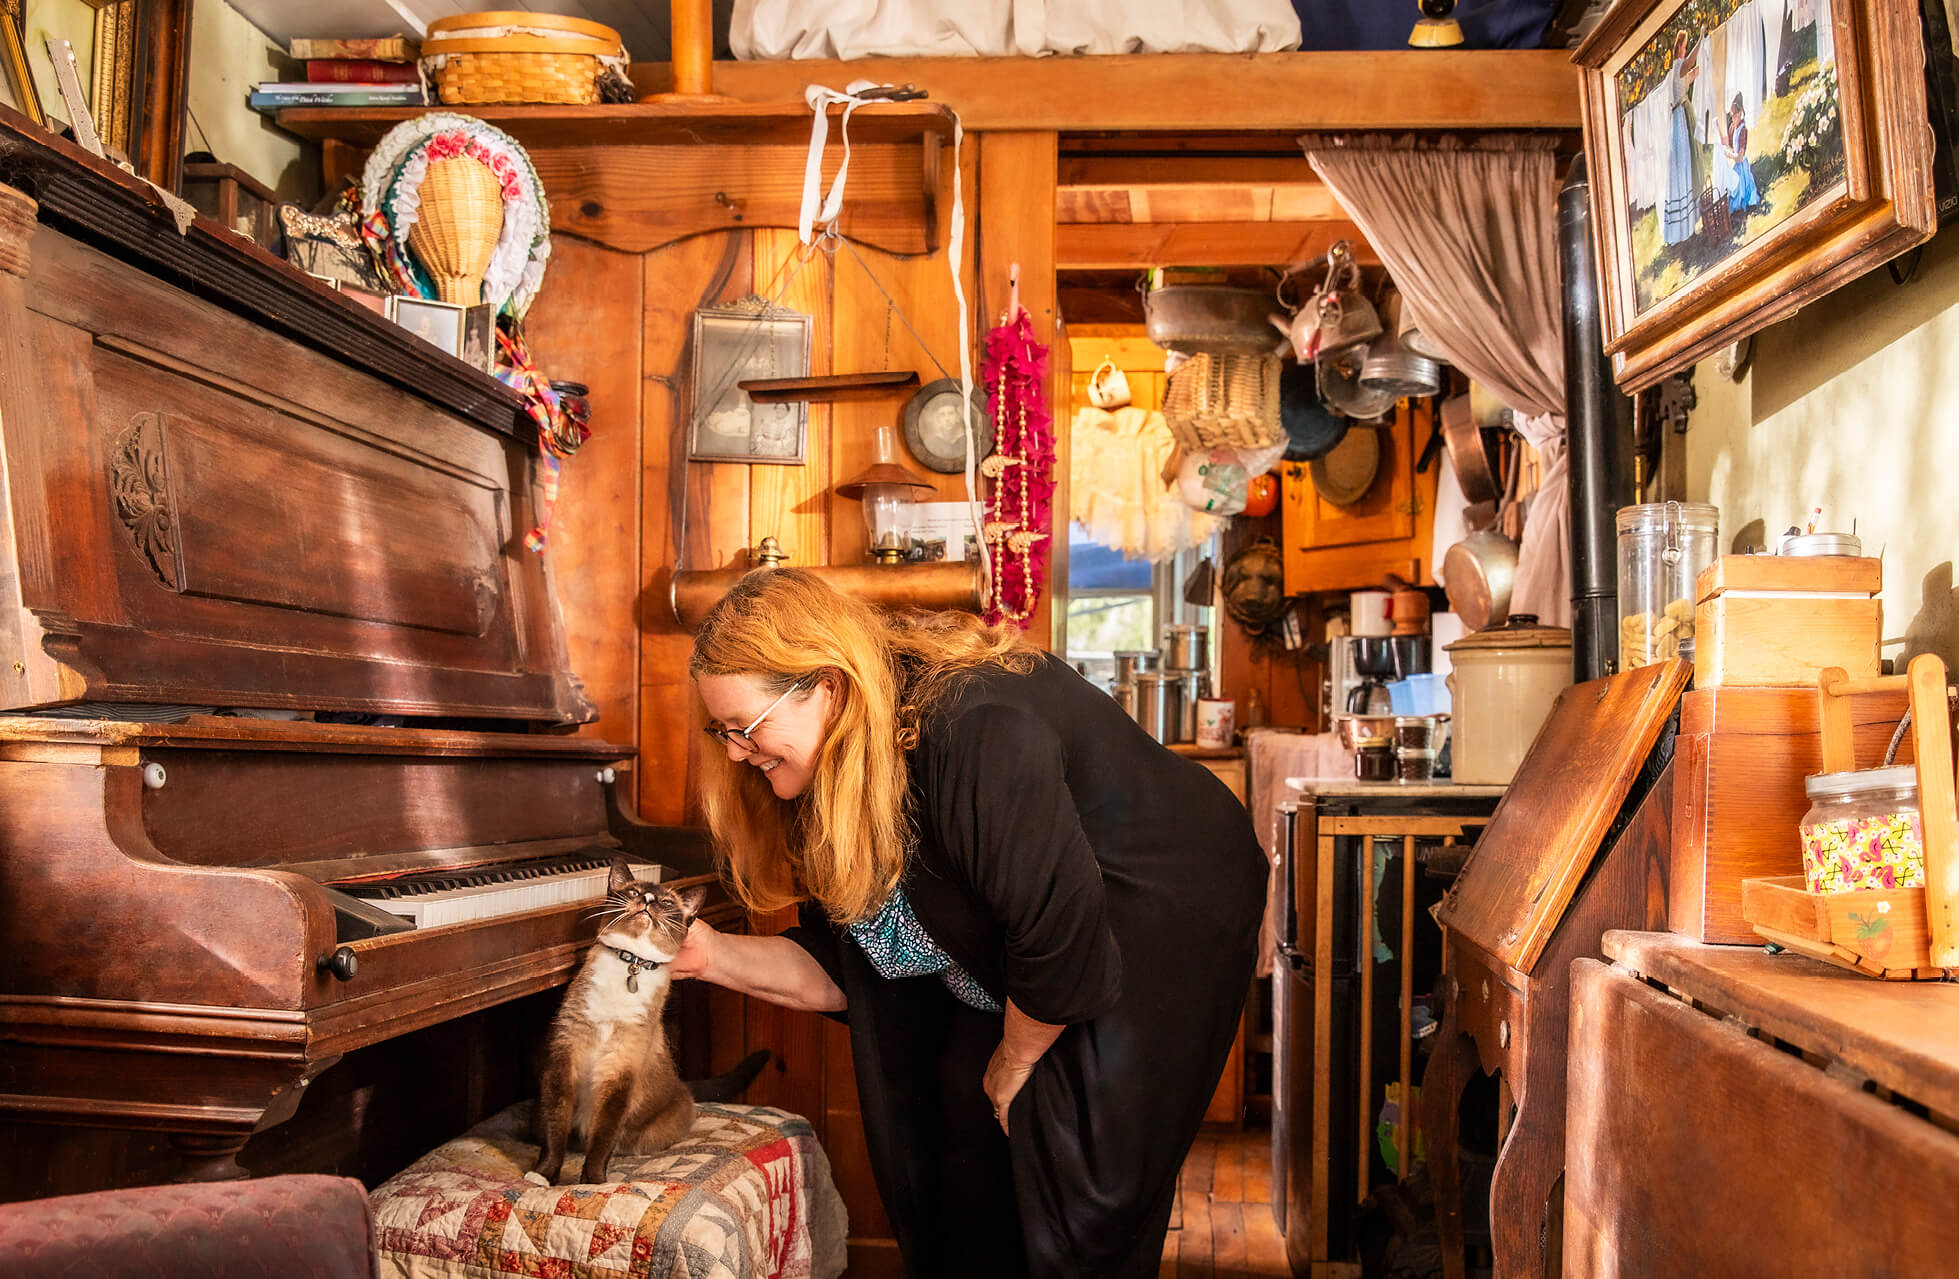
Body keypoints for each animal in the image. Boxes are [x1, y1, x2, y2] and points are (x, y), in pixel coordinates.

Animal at [525, 857, 716, 1190]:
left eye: (666, 903)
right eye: (634, 892)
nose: (648, 900)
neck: (632, 962)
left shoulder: (619, 1073)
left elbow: (603, 1139)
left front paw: (592, 1182)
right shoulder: (564, 1060)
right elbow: (555, 1130)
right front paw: (544, 1176)